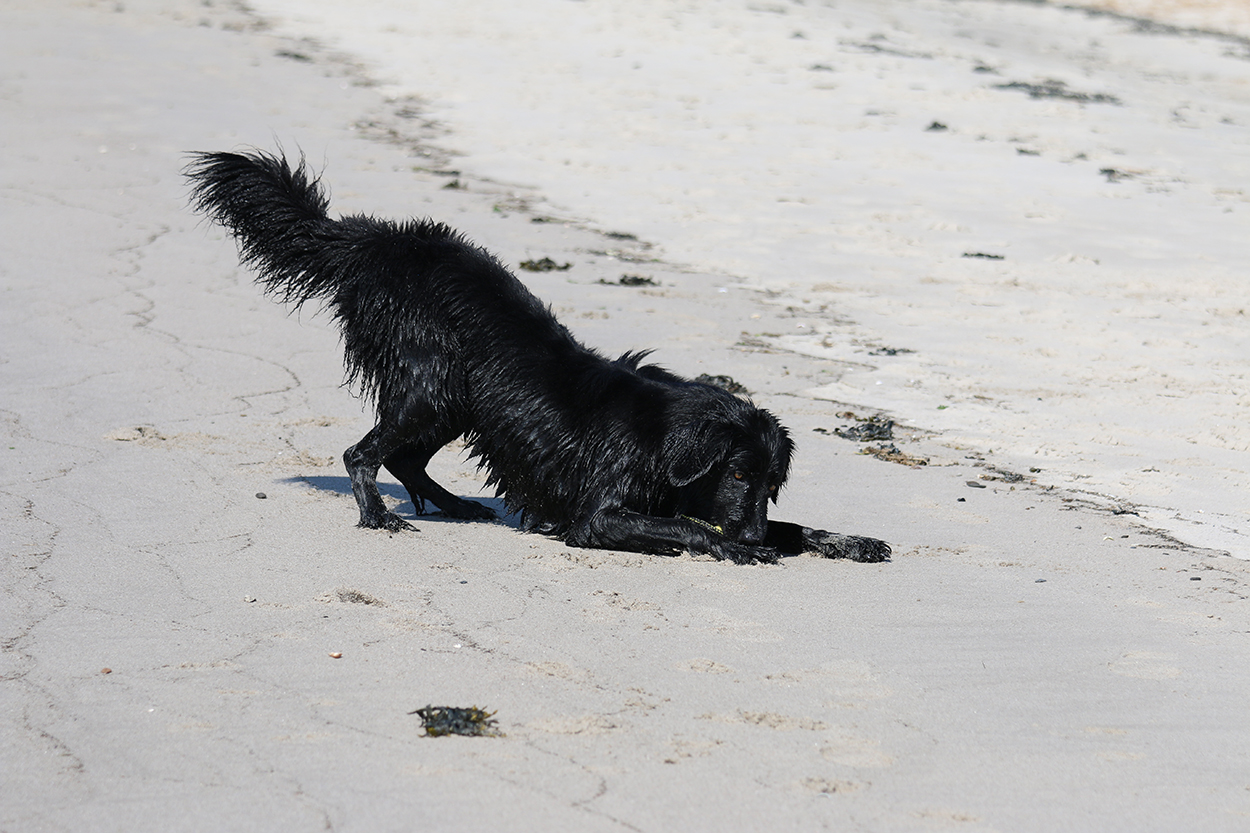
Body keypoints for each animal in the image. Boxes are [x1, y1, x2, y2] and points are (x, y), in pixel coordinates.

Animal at [185, 150, 890, 565]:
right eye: (739, 474)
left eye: (771, 482)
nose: (747, 535)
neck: (662, 438)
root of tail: (376, 239)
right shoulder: (599, 517)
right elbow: (687, 528)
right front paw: (742, 550)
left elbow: (792, 526)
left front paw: (849, 540)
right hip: (432, 380)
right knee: (363, 454)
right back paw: (378, 518)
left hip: (454, 398)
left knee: (405, 457)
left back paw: (456, 505)